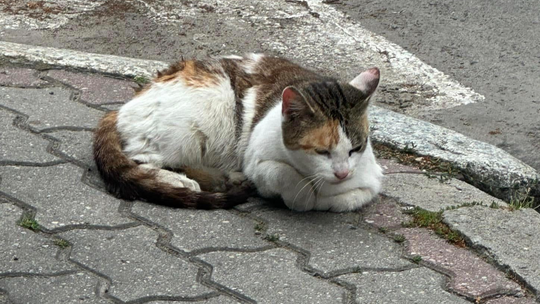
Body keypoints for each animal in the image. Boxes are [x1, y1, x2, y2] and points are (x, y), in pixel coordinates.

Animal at [90, 53, 382, 211]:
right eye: (321, 151)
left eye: (356, 148)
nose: (342, 173)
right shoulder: (259, 161)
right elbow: (287, 178)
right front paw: (302, 196)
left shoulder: (371, 182)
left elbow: (345, 199)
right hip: (205, 114)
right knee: (140, 160)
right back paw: (181, 181)